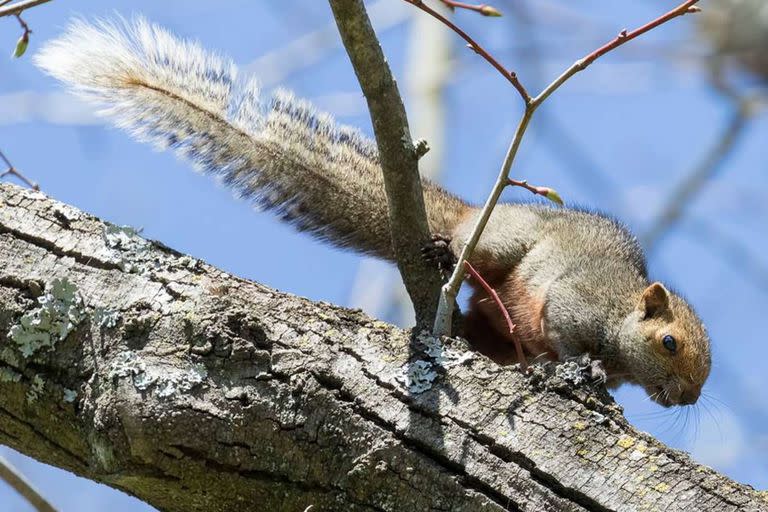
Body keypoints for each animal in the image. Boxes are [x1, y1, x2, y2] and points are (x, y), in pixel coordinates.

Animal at [33, 17, 712, 408]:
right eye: (669, 342)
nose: (685, 399)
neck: (621, 320)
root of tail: (471, 213)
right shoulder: (580, 300)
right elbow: (569, 335)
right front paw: (581, 370)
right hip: (501, 243)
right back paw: (445, 254)